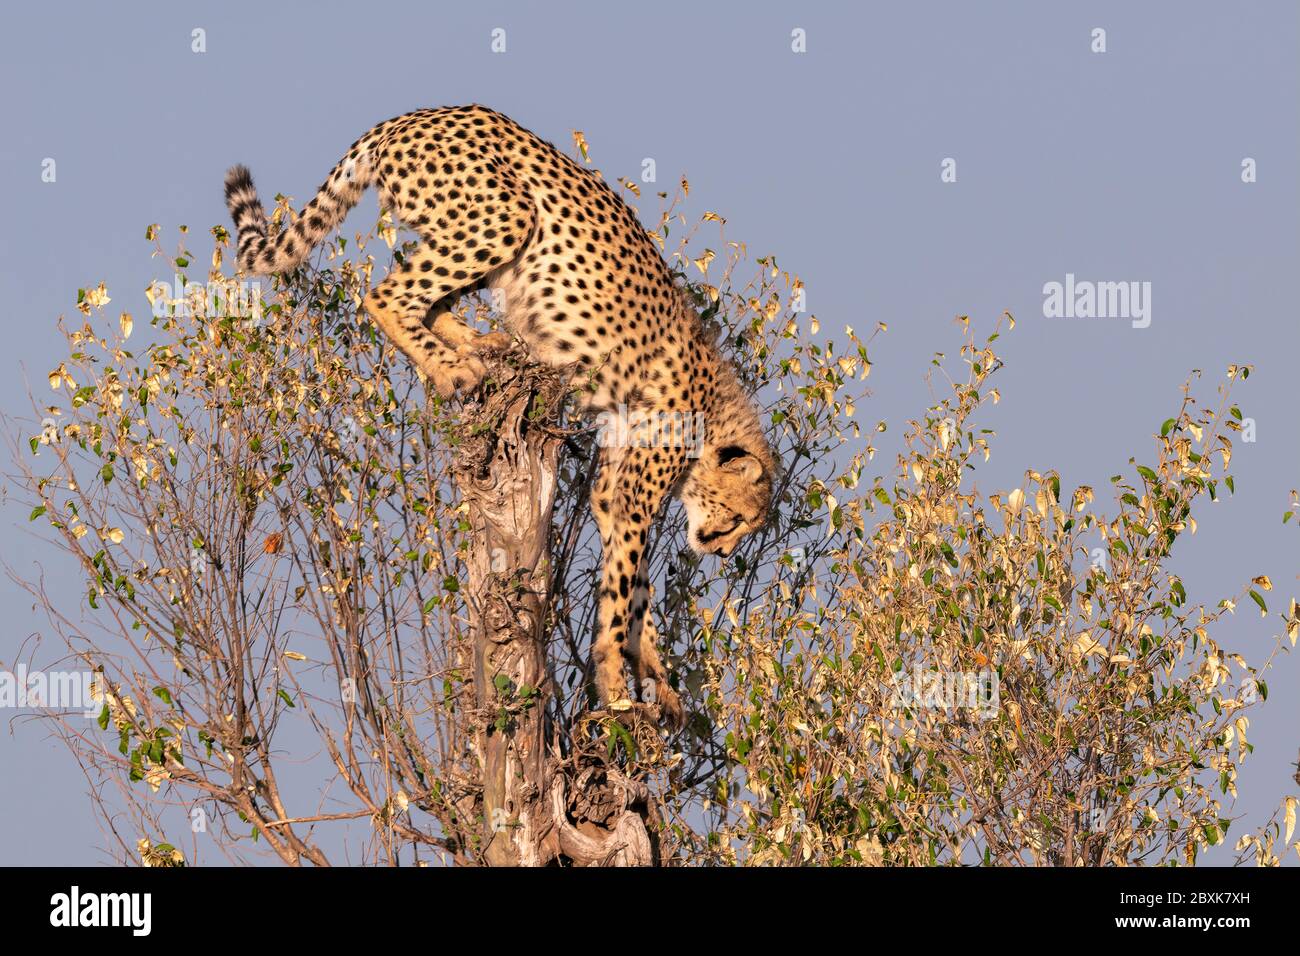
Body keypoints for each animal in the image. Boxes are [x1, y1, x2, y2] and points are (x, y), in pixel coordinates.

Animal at [224, 104, 774, 728]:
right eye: (739, 519)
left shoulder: (612, 491)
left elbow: (634, 591)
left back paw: (482, 345)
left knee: (424, 294)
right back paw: (453, 368)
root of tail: (416, 113)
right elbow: (623, 592)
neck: (712, 418)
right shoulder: (635, 492)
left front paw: (653, 673)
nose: (721, 550)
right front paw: (615, 685)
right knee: (386, 294)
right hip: (506, 216)